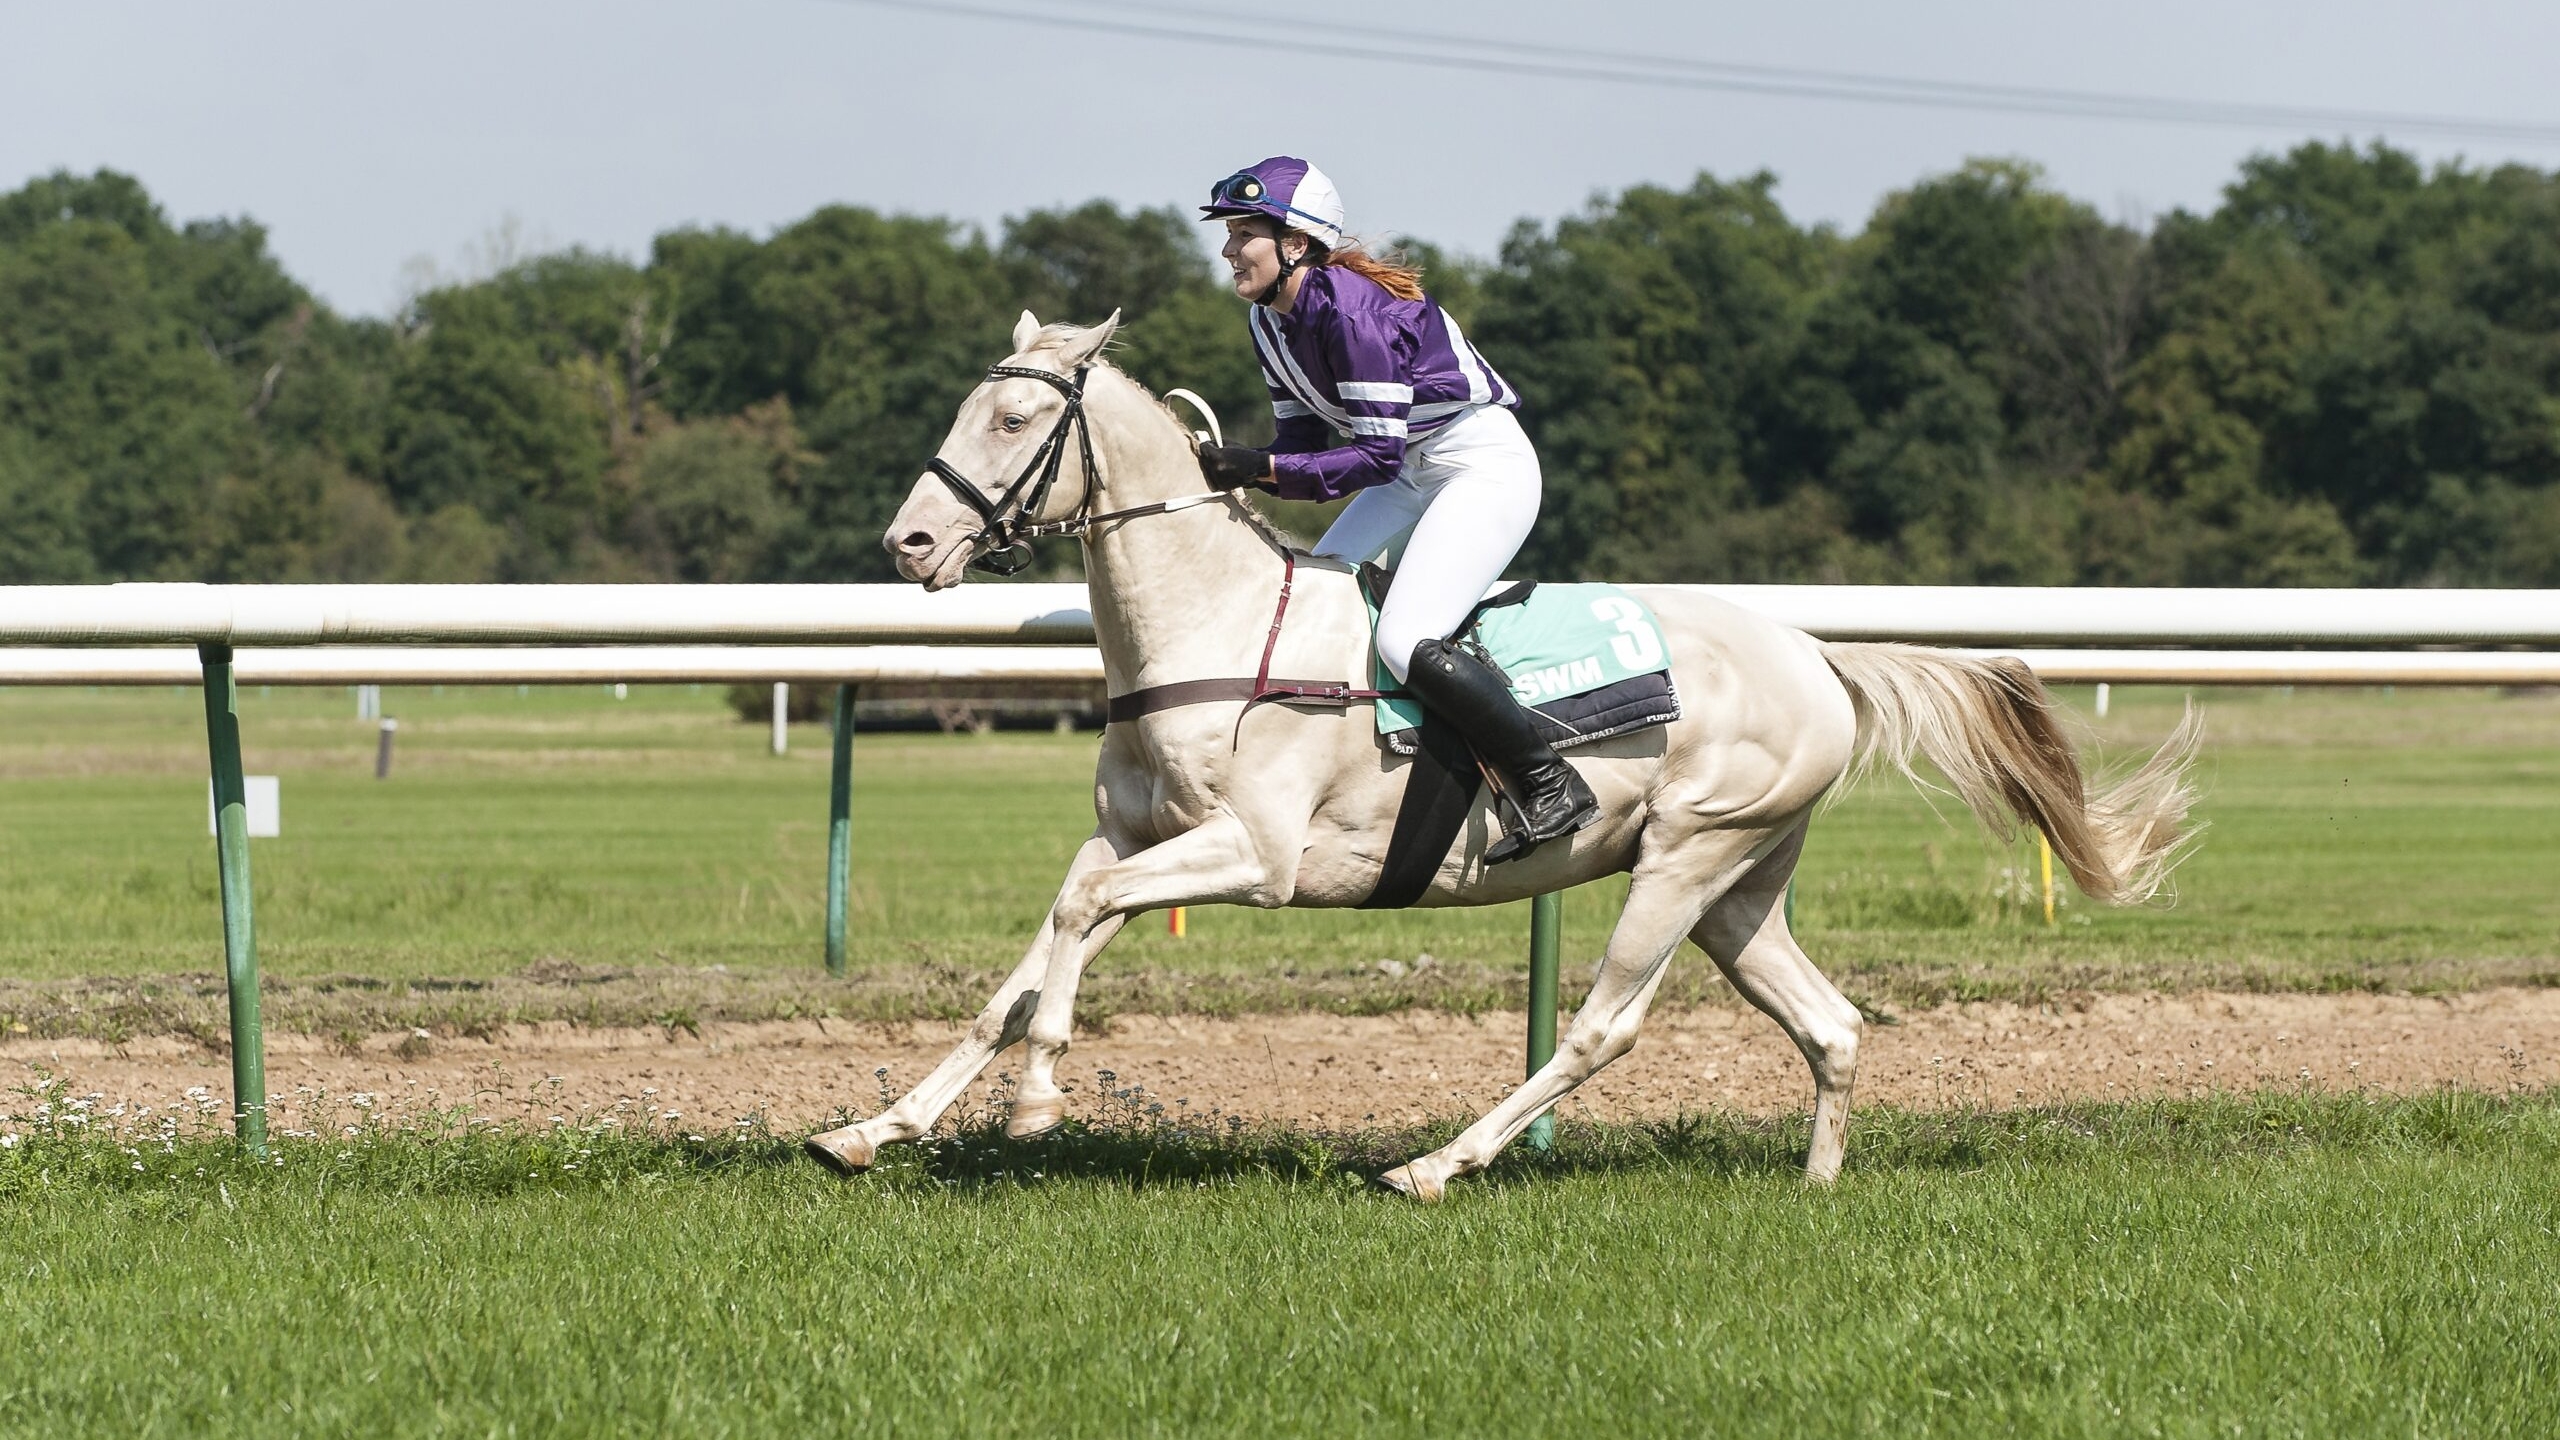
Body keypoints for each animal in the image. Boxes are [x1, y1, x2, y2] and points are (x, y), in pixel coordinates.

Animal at [803, 313, 2201, 1199]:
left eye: (1015, 416)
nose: (908, 543)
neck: (1215, 626)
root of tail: (1816, 655)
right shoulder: (1136, 834)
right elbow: (1031, 958)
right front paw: (876, 1128)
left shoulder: (1250, 856)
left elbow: (1076, 925)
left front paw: (1039, 1098)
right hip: (1739, 886)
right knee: (1832, 1024)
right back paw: (1814, 1188)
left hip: (1682, 864)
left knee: (1602, 1029)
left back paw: (1433, 1165)